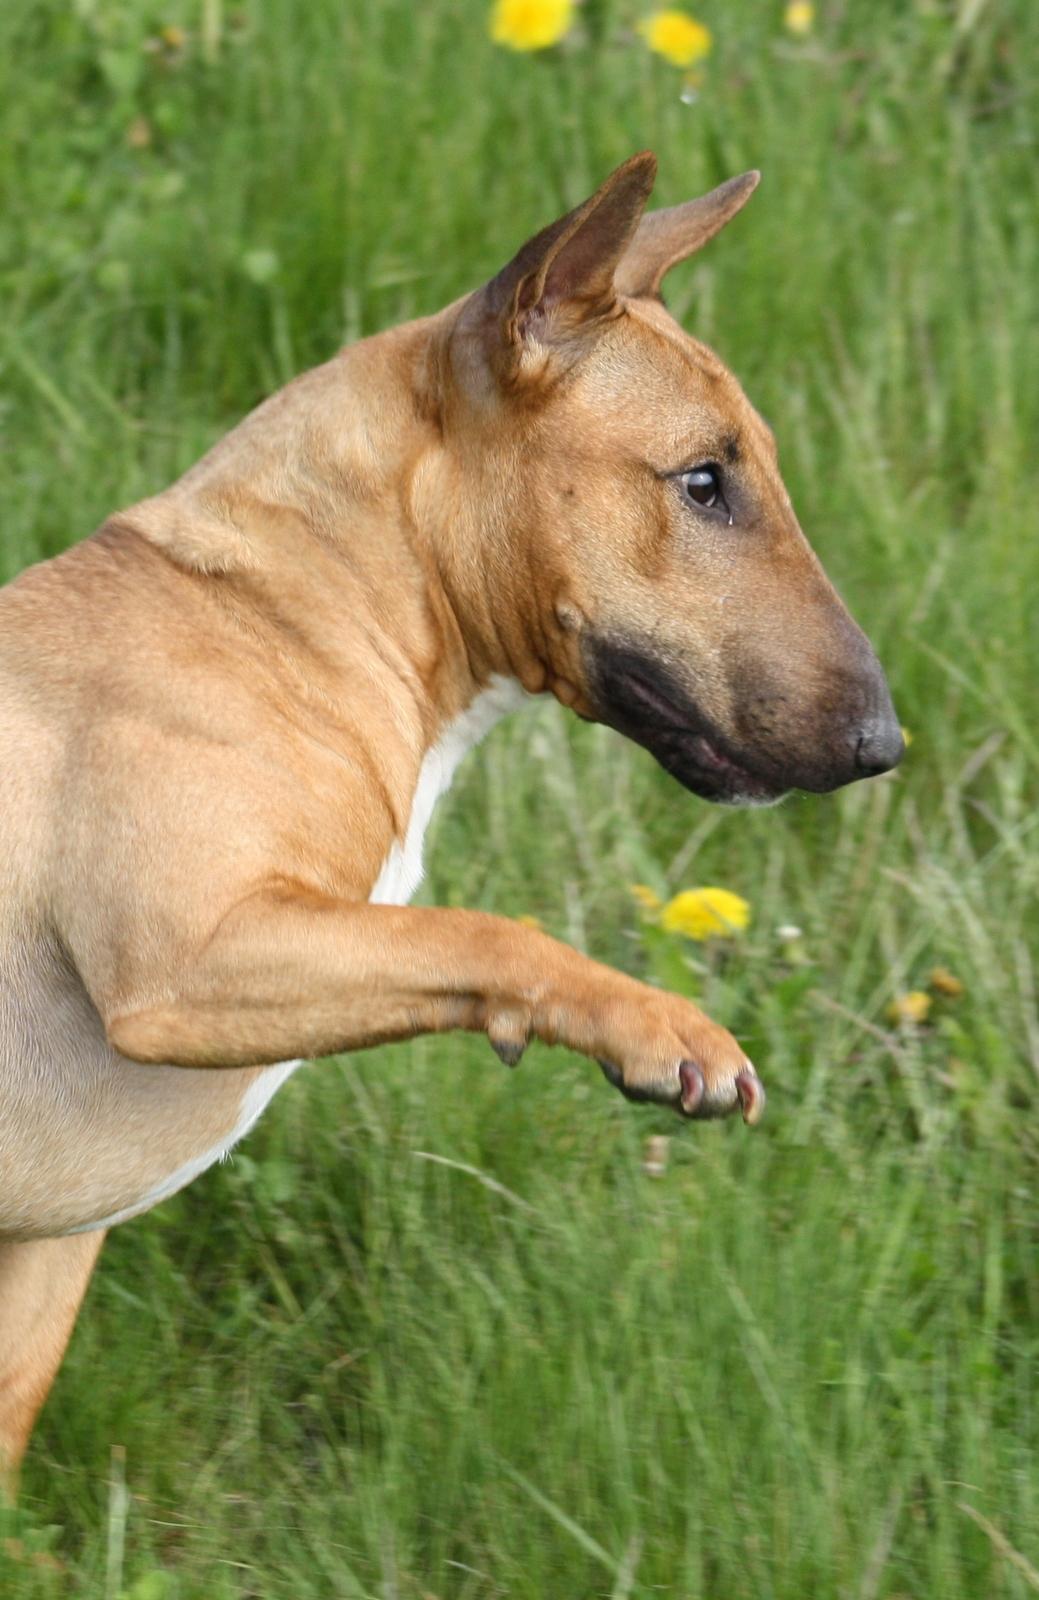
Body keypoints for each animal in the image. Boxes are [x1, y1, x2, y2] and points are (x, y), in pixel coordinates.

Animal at [0, 156, 896, 1478]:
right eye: (702, 480)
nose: (884, 745)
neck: (291, 604)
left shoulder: (45, 1257)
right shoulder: (178, 958)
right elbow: (485, 932)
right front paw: (660, 1029)